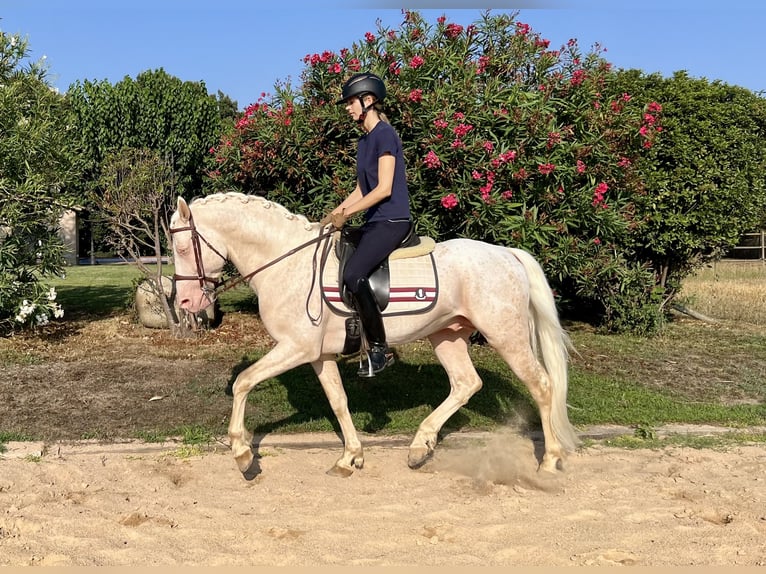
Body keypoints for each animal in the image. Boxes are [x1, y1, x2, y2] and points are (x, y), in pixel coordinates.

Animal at [169, 192, 580, 479]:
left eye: (180, 246)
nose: (186, 301)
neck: (289, 262)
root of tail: (507, 253)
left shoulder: (295, 348)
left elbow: (244, 381)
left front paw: (242, 453)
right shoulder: (318, 355)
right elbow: (338, 402)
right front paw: (350, 457)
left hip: (506, 337)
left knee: (542, 386)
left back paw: (550, 461)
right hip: (446, 336)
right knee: (466, 383)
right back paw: (420, 446)